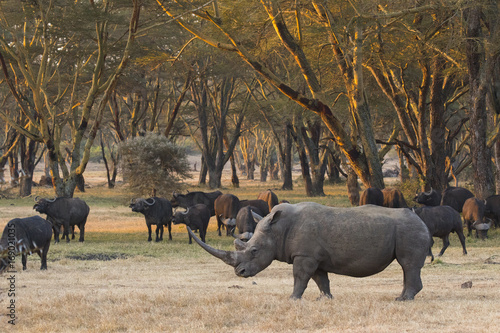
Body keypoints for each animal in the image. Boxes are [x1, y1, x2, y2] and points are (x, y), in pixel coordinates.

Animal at [188, 201, 430, 300]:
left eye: (254, 250)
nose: (240, 273)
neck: (278, 230)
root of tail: (422, 220)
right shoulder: (313, 256)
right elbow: (320, 279)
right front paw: (325, 299)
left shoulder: (304, 256)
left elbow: (300, 277)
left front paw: (292, 299)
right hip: (408, 229)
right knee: (407, 267)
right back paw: (401, 297)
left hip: (409, 229)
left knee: (408, 264)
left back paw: (403, 300)